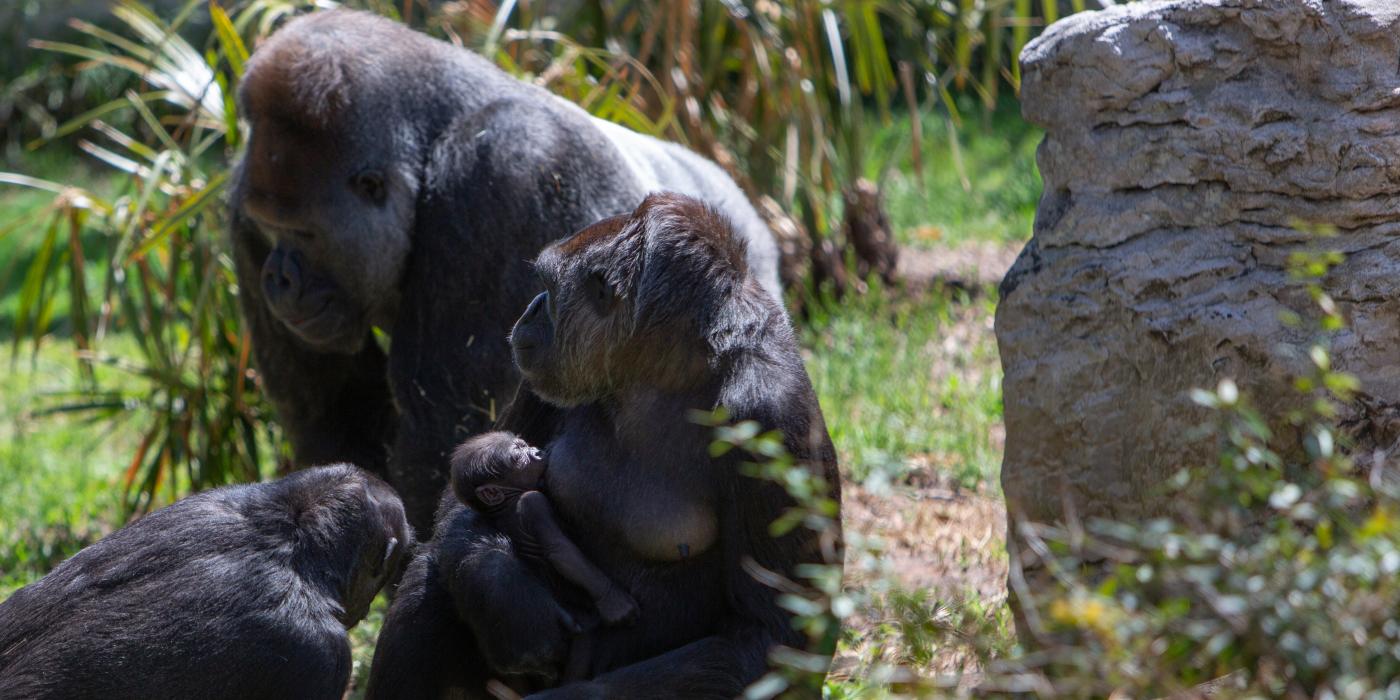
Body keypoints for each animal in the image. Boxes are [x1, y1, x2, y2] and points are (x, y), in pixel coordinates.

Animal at [224, 9, 784, 529]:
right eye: (268, 227)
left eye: (304, 234)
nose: (278, 279)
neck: (432, 139)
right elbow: (335, 412)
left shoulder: (508, 166)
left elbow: (443, 431)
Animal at [450, 428, 638, 674]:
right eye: (517, 455)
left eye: (523, 444)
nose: (537, 452)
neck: (509, 500)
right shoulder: (534, 503)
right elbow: (560, 549)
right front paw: (613, 599)